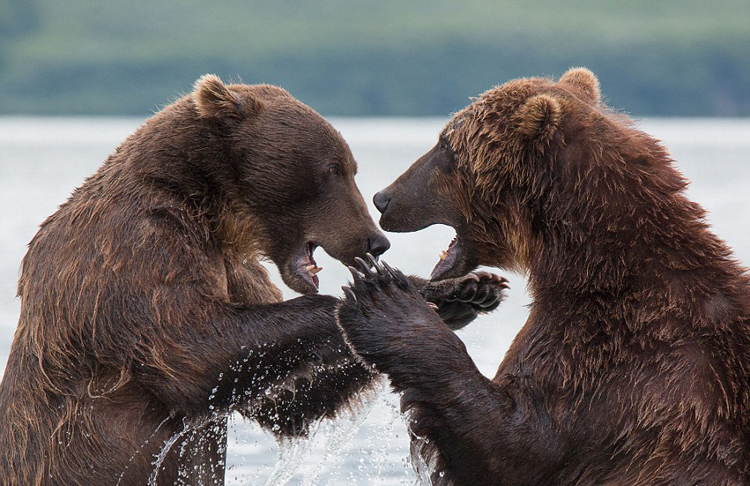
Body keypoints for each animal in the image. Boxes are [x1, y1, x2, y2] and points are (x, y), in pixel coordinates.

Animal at [0, 76, 506, 486]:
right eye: (333, 169)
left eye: (350, 167)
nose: (375, 240)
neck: (209, 209)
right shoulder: (132, 249)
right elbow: (195, 348)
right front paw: (380, 296)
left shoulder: (233, 268)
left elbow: (289, 399)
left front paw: (465, 290)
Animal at [342, 68, 750, 486]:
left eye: (447, 146)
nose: (383, 198)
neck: (587, 263)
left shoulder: (619, 367)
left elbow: (518, 445)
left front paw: (384, 299)